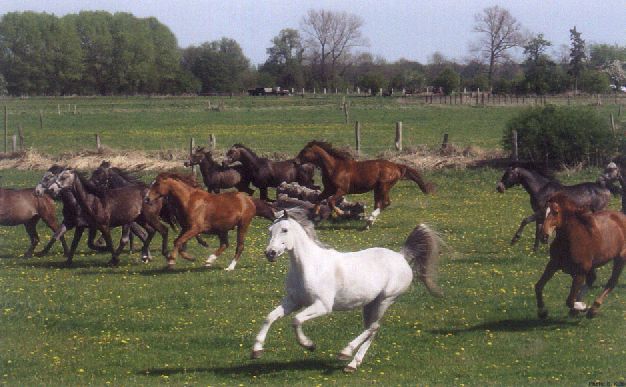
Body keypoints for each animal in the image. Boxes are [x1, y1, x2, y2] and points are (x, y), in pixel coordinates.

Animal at [251, 211, 442, 374]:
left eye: (285, 229)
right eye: (270, 230)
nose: (270, 253)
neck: (310, 266)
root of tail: (401, 256)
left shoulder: (322, 306)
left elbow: (296, 320)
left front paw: (309, 345)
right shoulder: (293, 301)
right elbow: (269, 317)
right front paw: (256, 351)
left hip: (385, 300)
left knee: (373, 327)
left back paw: (345, 353)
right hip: (370, 304)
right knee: (372, 329)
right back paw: (352, 364)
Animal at [294, 142, 434, 227]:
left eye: (304, 151)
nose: (295, 162)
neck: (334, 167)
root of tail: (397, 166)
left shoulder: (341, 190)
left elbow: (331, 201)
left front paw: (341, 213)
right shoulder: (328, 189)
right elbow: (318, 199)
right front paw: (315, 216)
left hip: (384, 186)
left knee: (385, 203)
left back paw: (369, 220)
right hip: (378, 189)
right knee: (380, 203)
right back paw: (368, 223)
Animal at [536, 192, 624, 320]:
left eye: (555, 212)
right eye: (544, 211)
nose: (544, 236)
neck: (571, 239)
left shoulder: (580, 271)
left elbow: (569, 301)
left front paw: (583, 306)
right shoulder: (553, 264)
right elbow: (538, 286)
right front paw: (542, 312)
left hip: (620, 258)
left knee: (612, 282)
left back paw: (593, 309)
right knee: (592, 279)